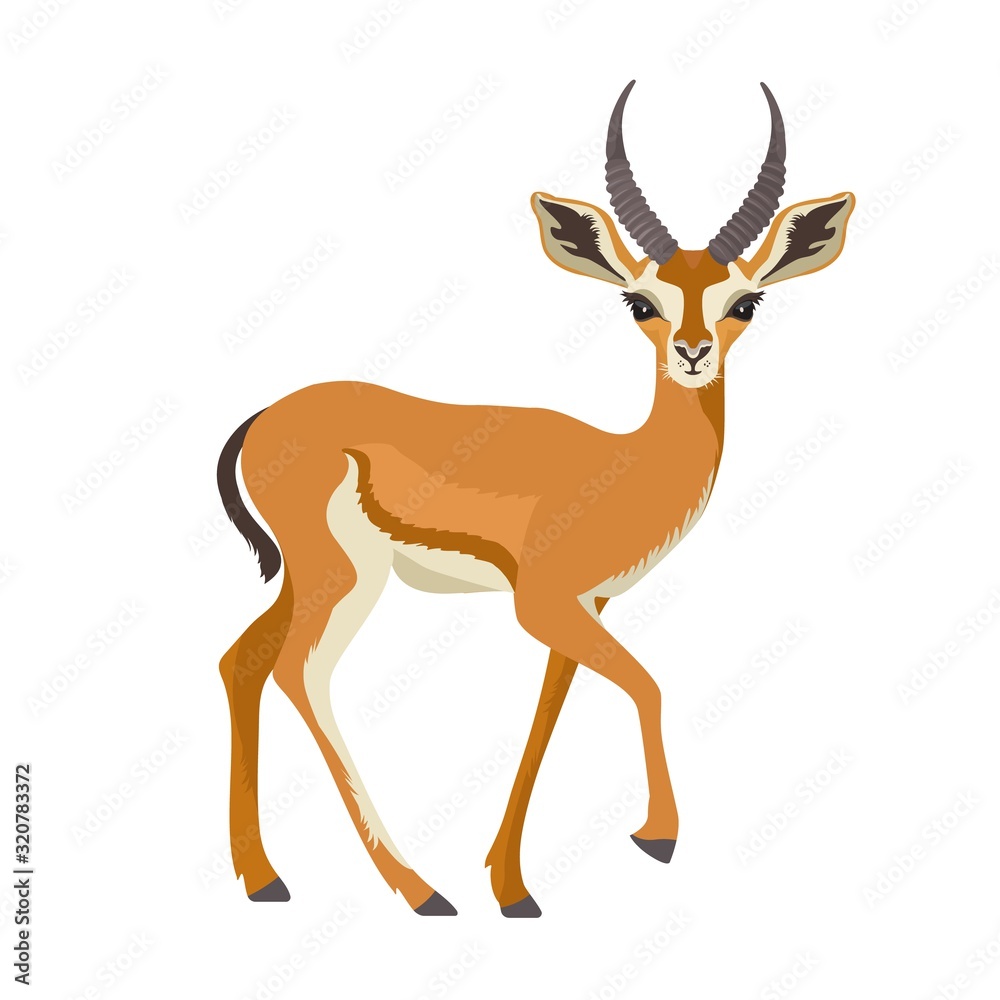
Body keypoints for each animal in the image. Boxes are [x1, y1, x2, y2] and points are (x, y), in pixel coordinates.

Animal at [217, 81, 854, 917]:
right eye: (640, 303)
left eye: (745, 303)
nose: (692, 354)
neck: (627, 463)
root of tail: (262, 419)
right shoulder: (543, 602)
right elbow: (648, 684)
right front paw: (656, 838)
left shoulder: (584, 607)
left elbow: (548, 712)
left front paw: (512, 886)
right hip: (344, 577)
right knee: (300, 673)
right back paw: (418, 889)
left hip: (303, 576)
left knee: (243, 659)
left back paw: (266, 879)